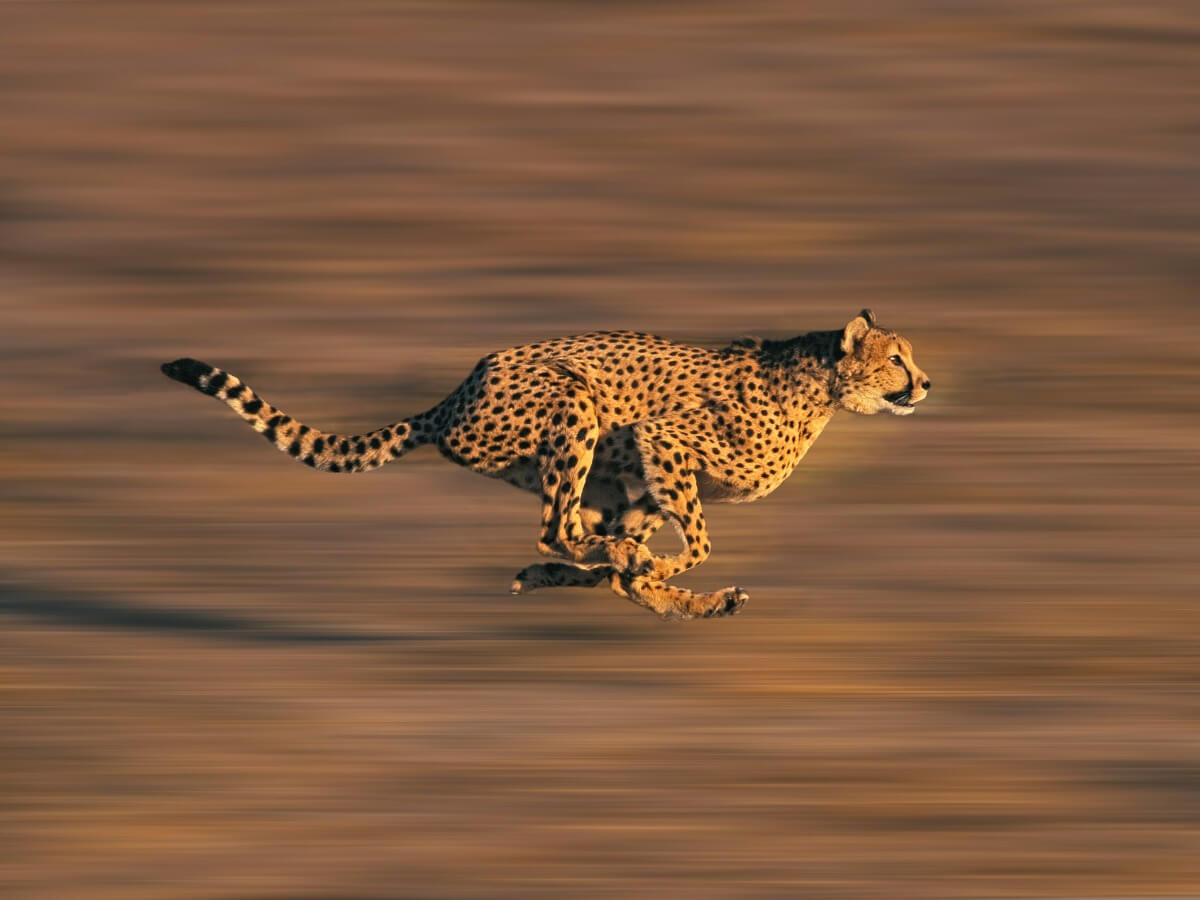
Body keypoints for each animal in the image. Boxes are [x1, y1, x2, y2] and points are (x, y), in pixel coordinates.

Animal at [161, 309, 930, 620]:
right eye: (896, 358)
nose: (925, 384)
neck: (822, 387)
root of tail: (459, 390)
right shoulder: (662, 439)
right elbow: (698, 541)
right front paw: (658, 568)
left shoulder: (644, 474)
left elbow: (647, 557)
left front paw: (660, 581)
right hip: (574, 404)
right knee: (557, 530)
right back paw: (609, 567)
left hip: (599, 467)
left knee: (576, 542)